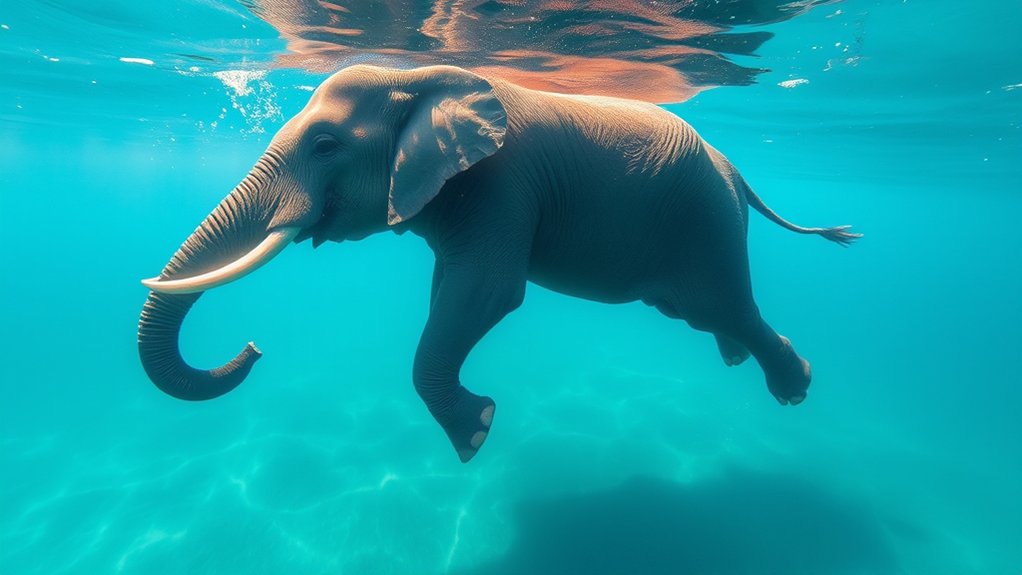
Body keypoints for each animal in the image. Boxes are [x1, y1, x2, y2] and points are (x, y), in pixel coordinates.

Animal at [138, 65, 860, 463]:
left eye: (324, 145)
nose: (255, 347)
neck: (418, 78)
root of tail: (735, 170)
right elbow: (449, 292)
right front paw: (477, 425)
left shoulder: (501, 186)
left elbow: (486, 294)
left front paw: (476, 433)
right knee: (701, 315)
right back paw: (738, 360)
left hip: (706, 221)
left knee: (726, 307)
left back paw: (794, 387)